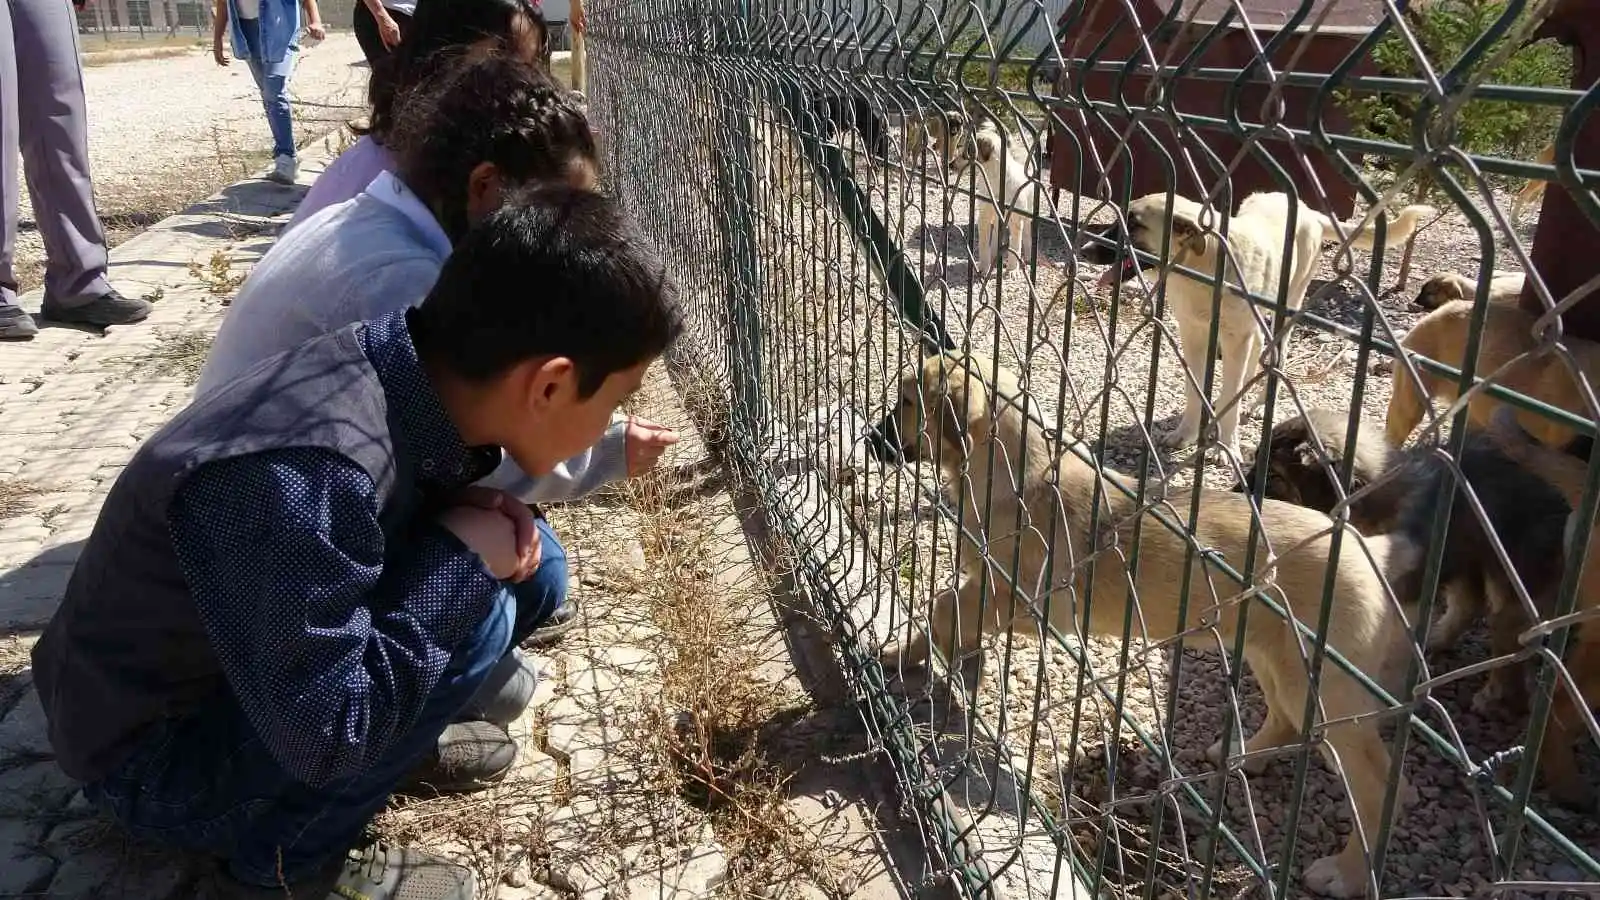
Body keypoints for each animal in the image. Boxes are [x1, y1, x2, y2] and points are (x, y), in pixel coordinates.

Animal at [876, 353, 1414, 890]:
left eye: (906, 402)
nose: (868, 438)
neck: (1014, 470)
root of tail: (1372, 551)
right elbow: (948, 607)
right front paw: (920, 654)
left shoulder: (1034, 601)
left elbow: (945, 604)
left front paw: (937, 654)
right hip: (1273, 658)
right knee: (1283, 720)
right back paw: (1241, 757)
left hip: (1322, 688)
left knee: (1377, 782)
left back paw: (1347, 872)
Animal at [947, 120, 1049, 277]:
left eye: (966, 152)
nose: (950, 165)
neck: (994, 178)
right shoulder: (984, 216)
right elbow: (984, 245)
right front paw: (984, 267)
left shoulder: (1015, 220)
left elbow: (1015, 246)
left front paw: (1012, 270)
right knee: (995, 235)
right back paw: (994, 255)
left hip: (1027, 215)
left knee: (1026, 235)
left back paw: (1028, 257)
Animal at [1088, 188, 1440, 454]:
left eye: (1134, 224)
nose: (1087, 247)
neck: (1202, 269)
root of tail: (1310, 212)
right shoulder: (1193, 334)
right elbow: (1194, 389)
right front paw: (1186, 433)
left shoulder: (1234, 339)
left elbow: (1231, 394)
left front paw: (1225, 446)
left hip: (1288, 307)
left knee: (1274, 357)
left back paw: (1256, 403)